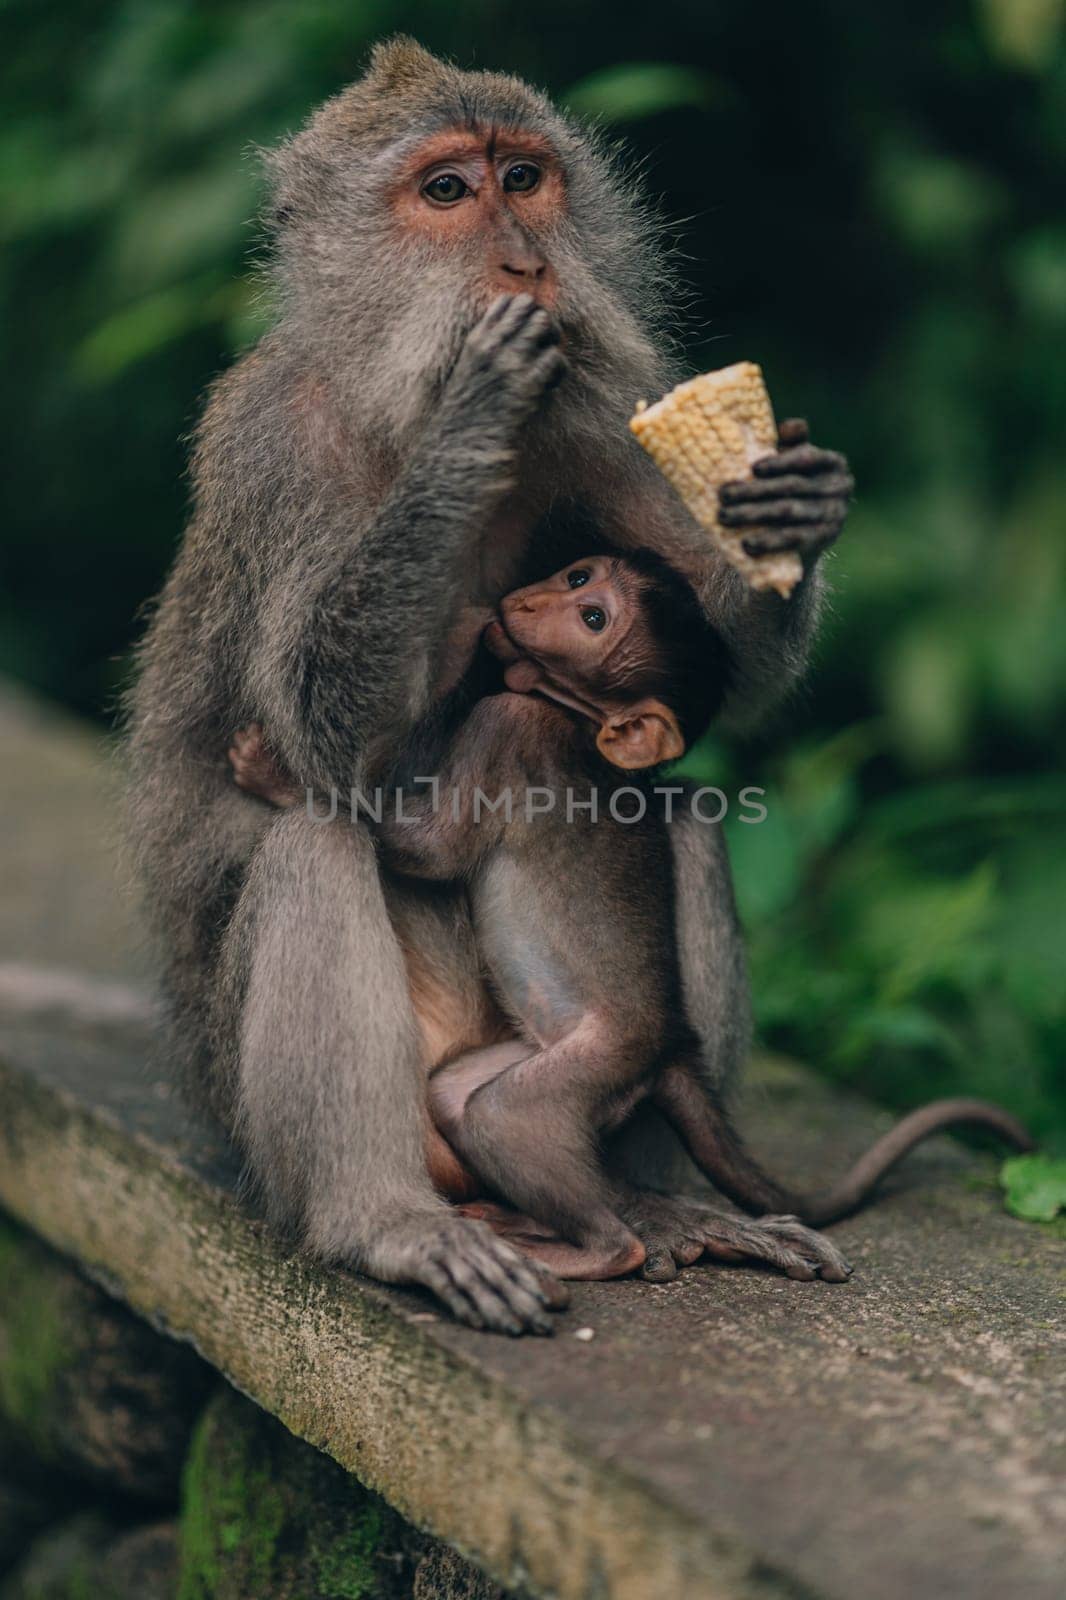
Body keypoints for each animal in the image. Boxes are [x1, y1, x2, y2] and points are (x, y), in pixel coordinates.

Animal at [126, 40, 857, 1337]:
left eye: (523, 177)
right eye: (446, 192)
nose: (523, 258)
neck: (389, 391)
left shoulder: (603, 424)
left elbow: (728, 668)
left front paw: (792, 512)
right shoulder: (280, 448)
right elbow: (320, 729)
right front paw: (470, 422)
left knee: (684, 811)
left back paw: (651, 1202)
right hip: (266, 1099)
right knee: (312, 843)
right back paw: (385, 1224)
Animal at [230, 556, 1030, 1280]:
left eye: (592, 619)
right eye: (580, 575)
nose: (528, 600)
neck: (577, 721)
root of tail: (673, 1045)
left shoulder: (507, 731)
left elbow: (430, 851)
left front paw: (281, 775)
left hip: (602, 1058)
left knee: (508, 1121)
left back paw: (594, 1249)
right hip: (557, 1057)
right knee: (455, 1096)